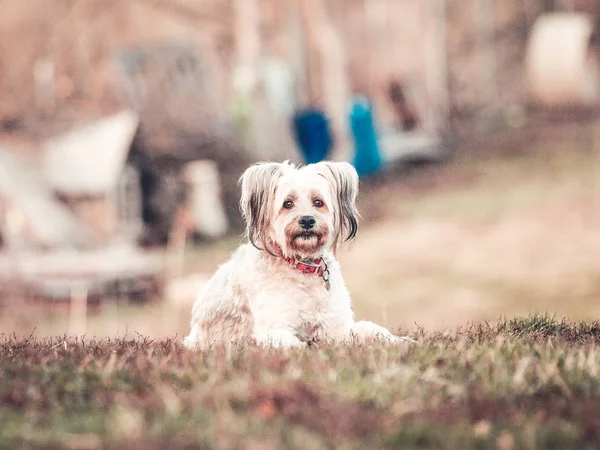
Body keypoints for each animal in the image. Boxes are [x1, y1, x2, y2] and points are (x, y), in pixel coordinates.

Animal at [182, 160, 412, 350]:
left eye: (318, 202)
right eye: (288, 203)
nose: (307, 220)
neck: (302, 266)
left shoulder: (336, 326)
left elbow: (372, 330)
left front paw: (401, 341)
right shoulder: (273, 330)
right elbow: (298, 346)